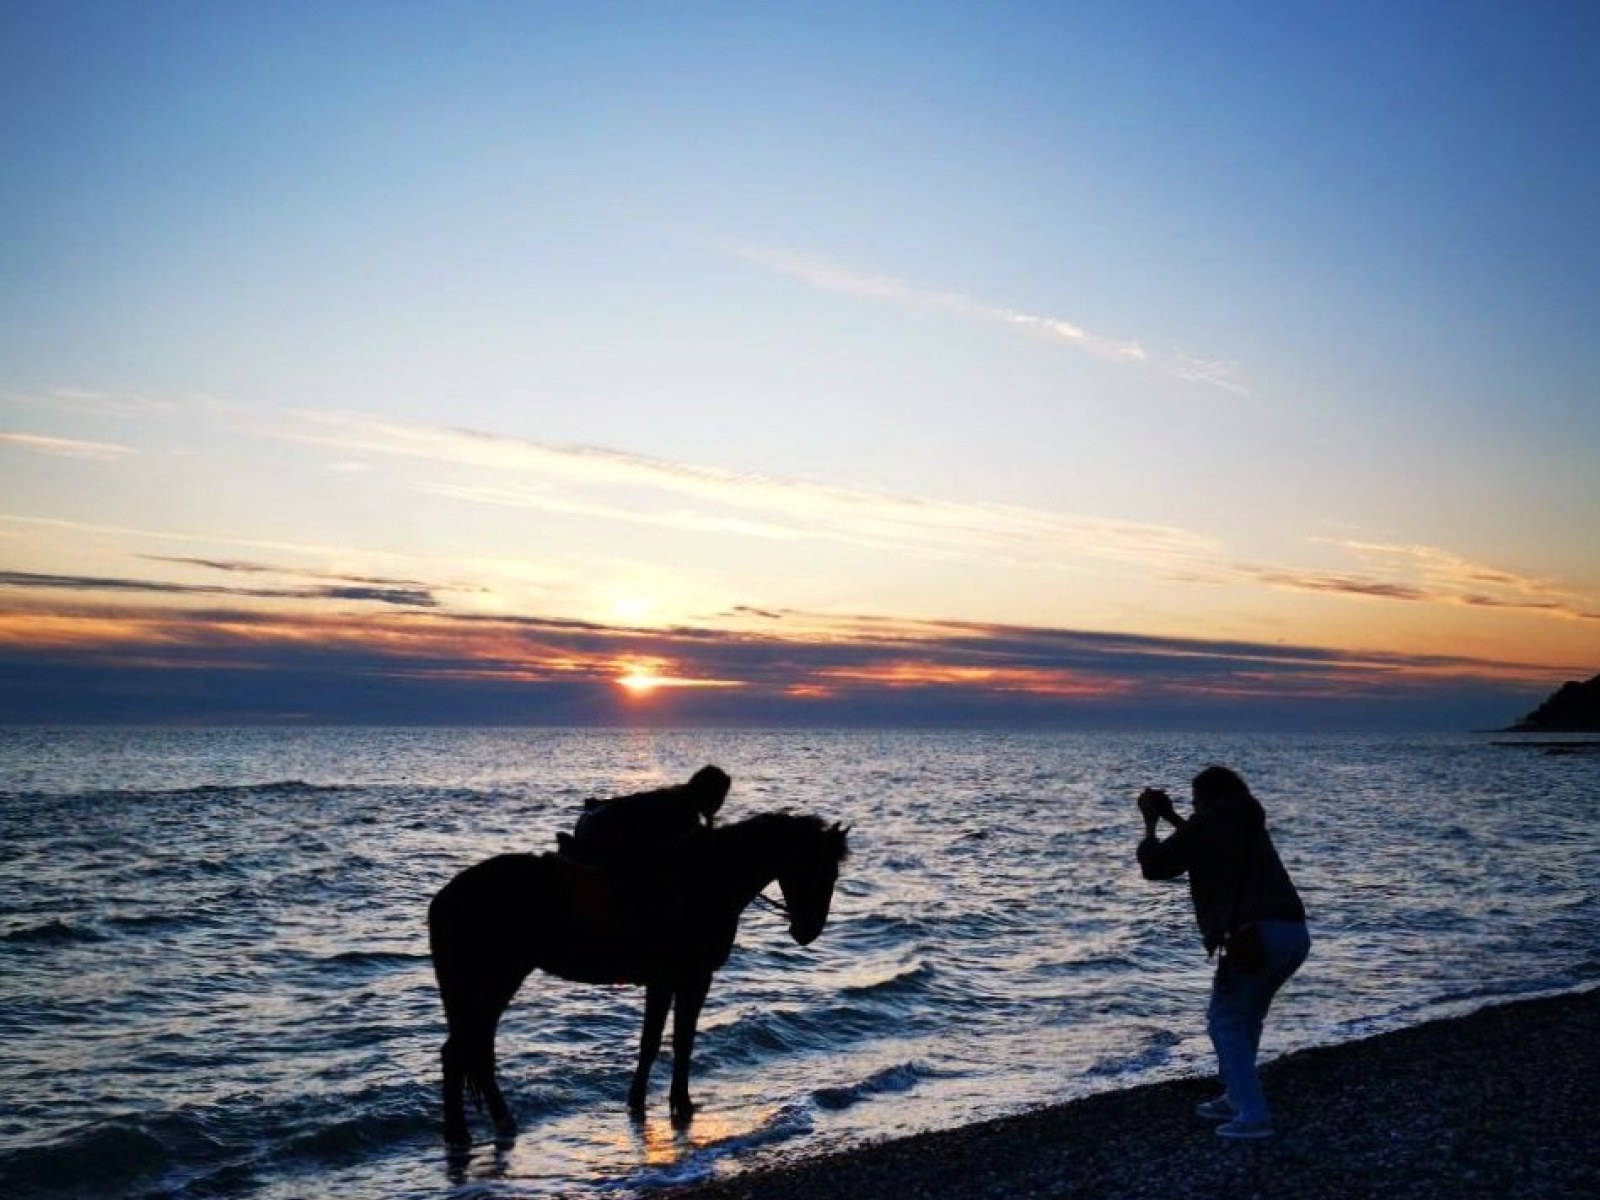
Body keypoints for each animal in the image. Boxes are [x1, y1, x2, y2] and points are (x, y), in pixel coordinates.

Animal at [427, 811, 850, 1144]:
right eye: (813, 869)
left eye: (833, 873)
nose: (808, 930)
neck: (703, 882)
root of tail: (444, 899)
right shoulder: (691, 979)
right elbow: (679, 1042)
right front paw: (681, 1105)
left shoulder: (666, 982)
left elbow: (654, 1043)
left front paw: (642, 1104)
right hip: (490, 985)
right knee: (462, 1054)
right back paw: (467, 1132)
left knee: (474, 1054)